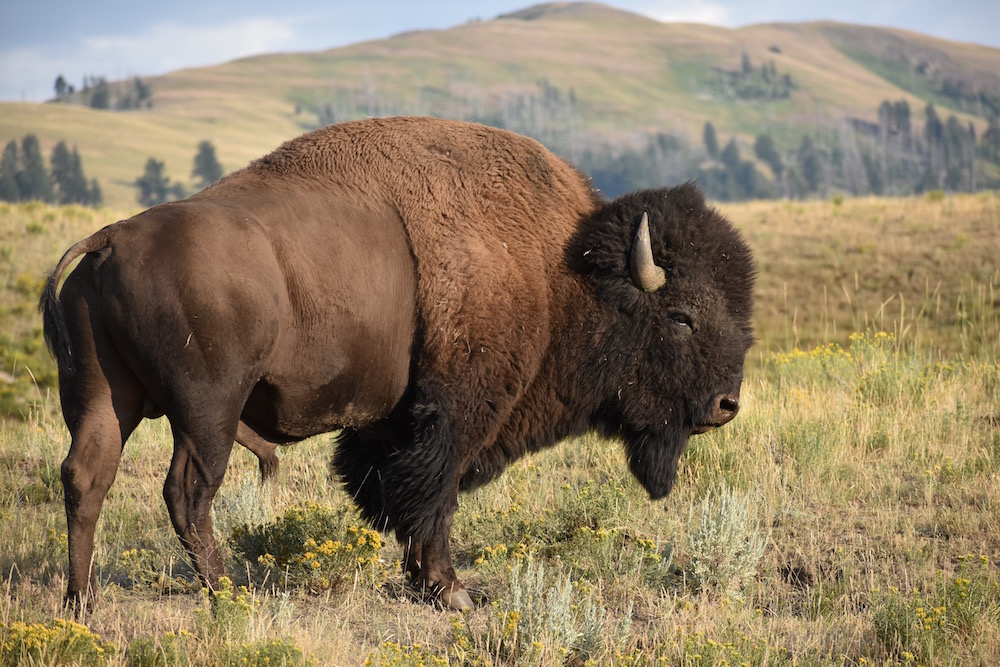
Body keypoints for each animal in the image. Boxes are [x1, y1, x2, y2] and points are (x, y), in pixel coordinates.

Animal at [43, 115, 752, 612]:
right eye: (682, 317)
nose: (726, 404)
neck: (561, 270)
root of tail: (109, 238)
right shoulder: (456, 413)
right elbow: (433, 494)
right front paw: (453, 591)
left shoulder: (392, 423)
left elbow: (395, 491)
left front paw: (423, 583)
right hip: (207, 410)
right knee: (187, 492)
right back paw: (228, 591)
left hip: (105, 399)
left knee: (86, 479)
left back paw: (82, 604)